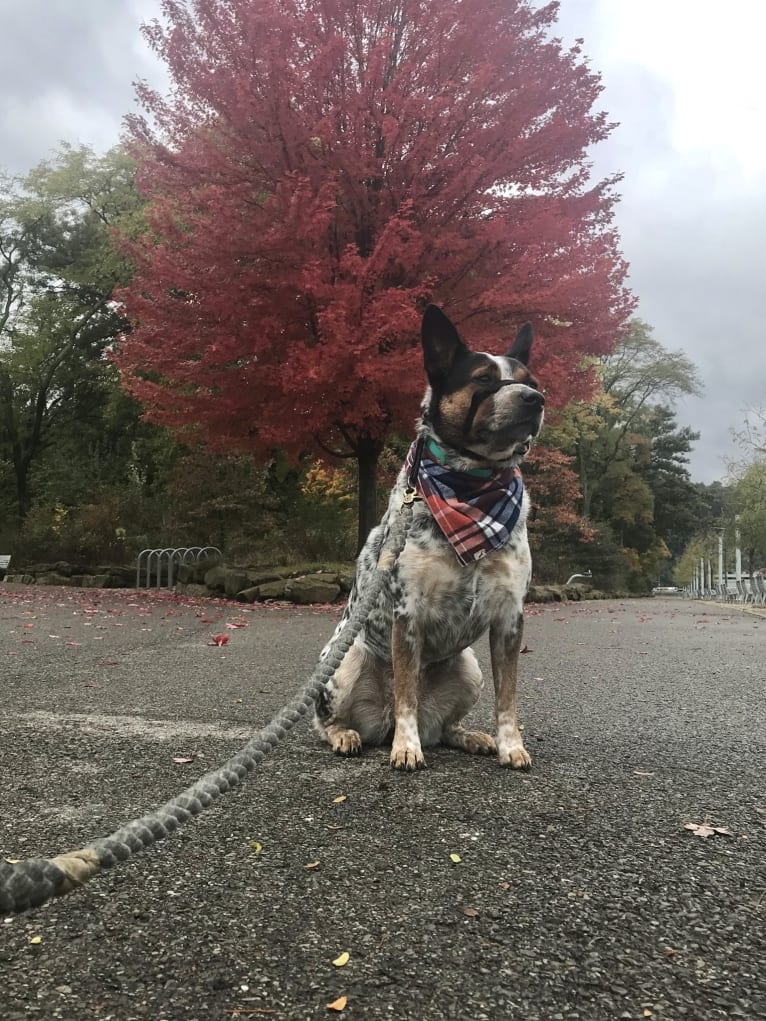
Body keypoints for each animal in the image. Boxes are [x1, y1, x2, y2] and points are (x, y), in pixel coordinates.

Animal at [316, 306, 547, 767]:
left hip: (469, 667)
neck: (471, 487)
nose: (536, 400)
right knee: (335, 719)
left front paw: (511, 745)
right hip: (342, 660)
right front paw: (407, 748)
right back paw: (348, 734)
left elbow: (508, 698)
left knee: (442, 728)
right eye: (484, 379)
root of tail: (381, 722)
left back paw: (469, 736)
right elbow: (406, 692)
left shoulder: (510, 618)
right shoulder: (408, 612)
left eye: (530, 381)